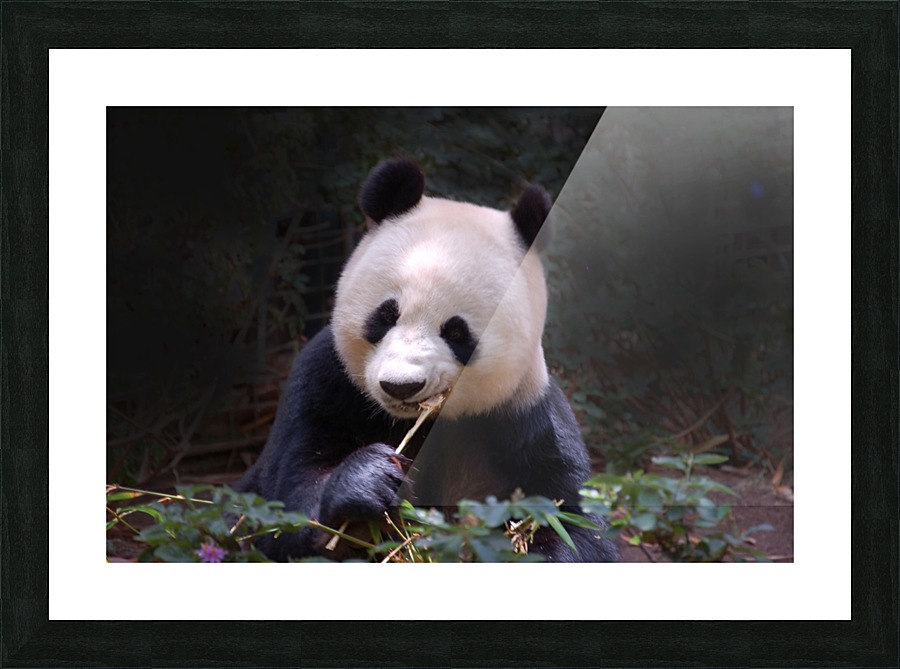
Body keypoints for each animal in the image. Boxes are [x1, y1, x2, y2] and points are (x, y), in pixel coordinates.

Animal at [236, 158, 619, 563]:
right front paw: (369, 480)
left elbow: (575, 526)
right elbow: (284, 505)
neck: (419, 421)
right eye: (387, 315)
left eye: (456, 332)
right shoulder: (327, 383)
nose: (401, 386)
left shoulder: (523, 414)